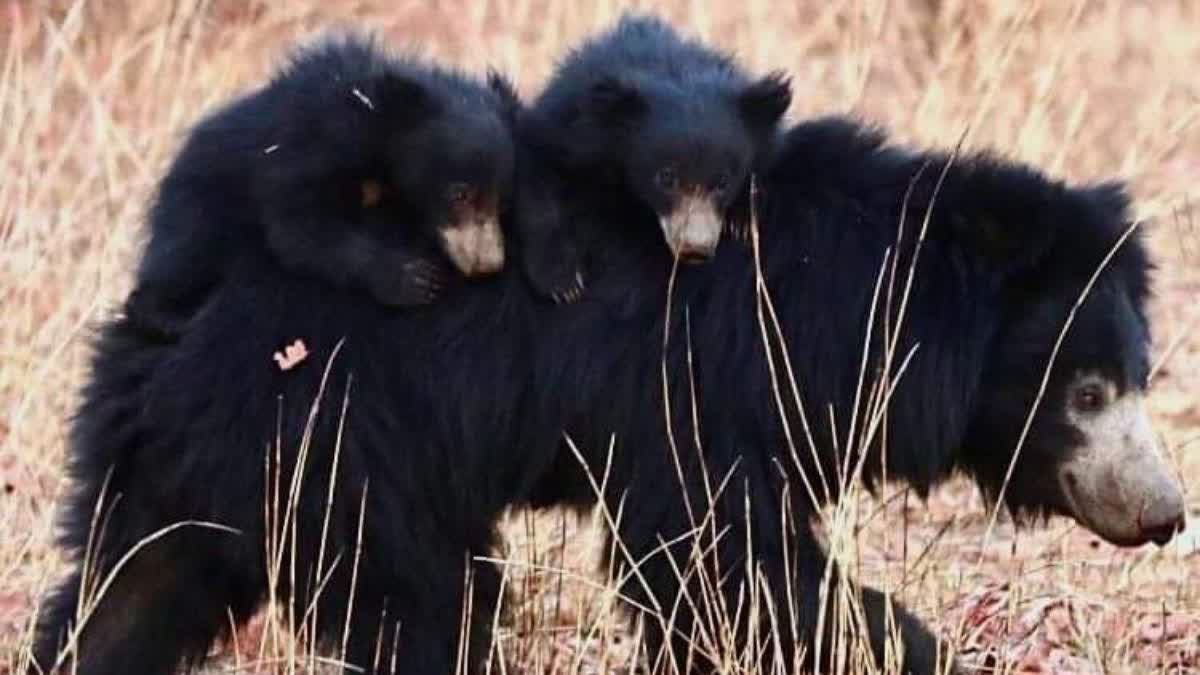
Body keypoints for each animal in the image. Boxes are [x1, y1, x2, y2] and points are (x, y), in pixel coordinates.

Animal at [32, 115, 1185, 672]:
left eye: (1135, 380)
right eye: (1085, 393)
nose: (1166, 513)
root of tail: (181, 298)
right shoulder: (695, 393)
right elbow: (721, 562)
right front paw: (905, 651)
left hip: (194, 453)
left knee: (127, 591)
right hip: (340, 442)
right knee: (423, 608)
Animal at [129, 36, 518, 338]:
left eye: (500, 201)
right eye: (460, 194)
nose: (487, 265)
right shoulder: (313, 145)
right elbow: (300, 226)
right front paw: (412, 279)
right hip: (197, 206)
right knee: (181, 258)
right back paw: (170, 317)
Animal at [513, 13, 787, 299]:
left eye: (723, 182)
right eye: (666, 178)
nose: (694, 248)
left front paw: (742, 221)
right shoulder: (569, 130)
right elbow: (541, 176)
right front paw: (563, 283)